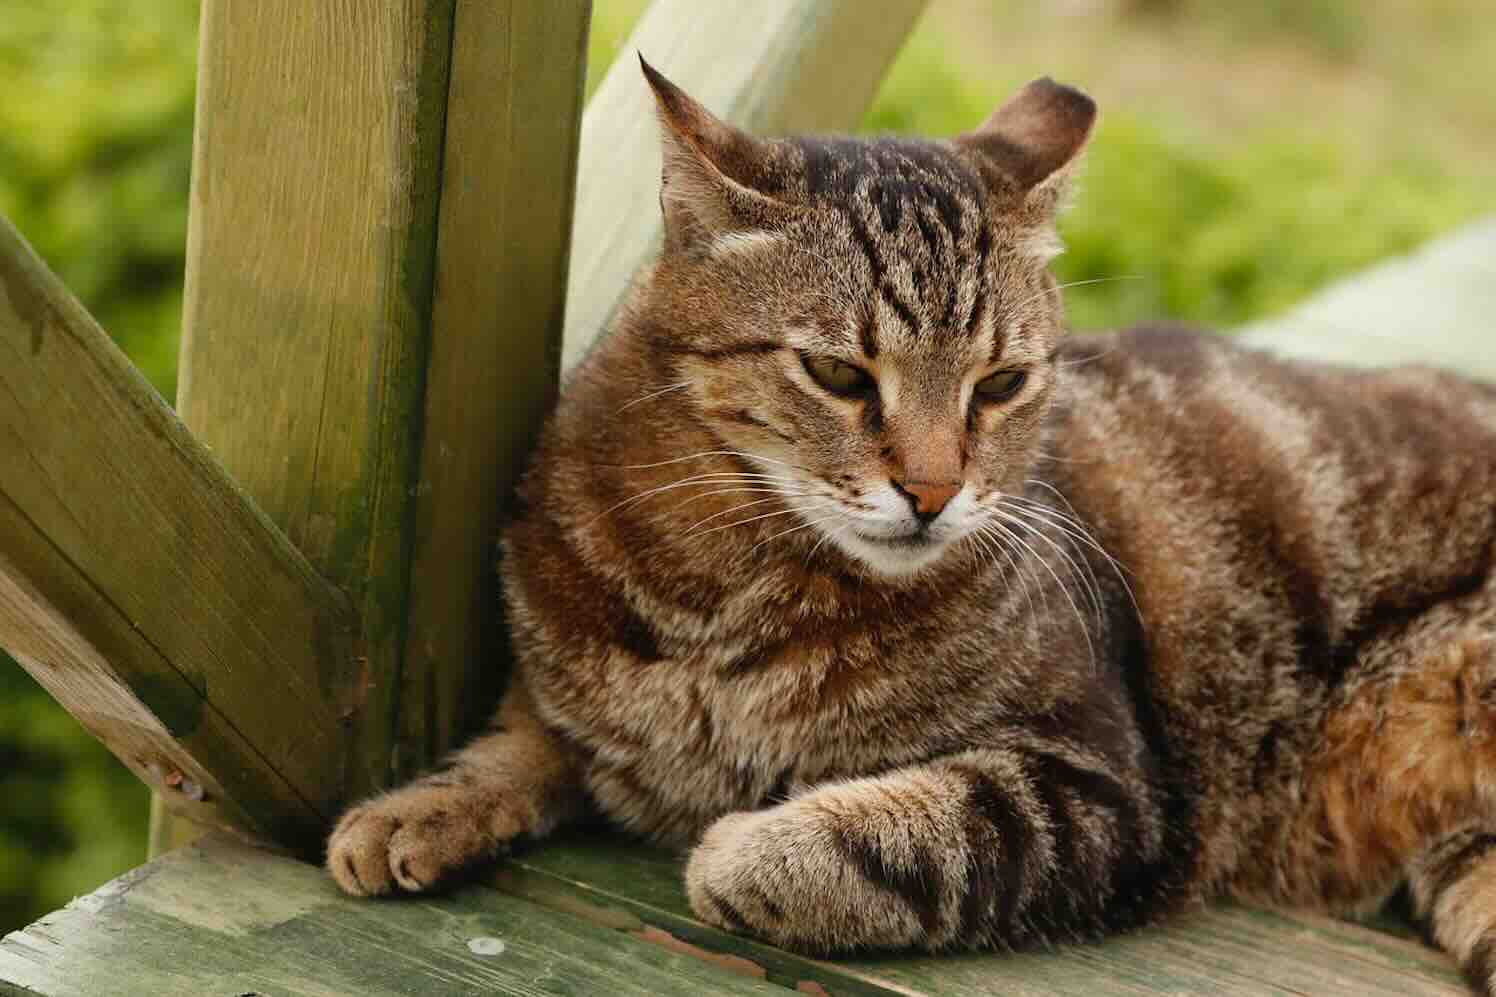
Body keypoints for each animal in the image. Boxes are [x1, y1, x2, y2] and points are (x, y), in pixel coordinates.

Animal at [327, 60, 1496, 988]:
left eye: (1001, 384)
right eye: (841, 376)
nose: (933, 491)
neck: (729, 603)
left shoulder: (1105, 784)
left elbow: (884, 840)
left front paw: (739, 844)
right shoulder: (566, 690)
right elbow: (514, 739)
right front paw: (412, 807)